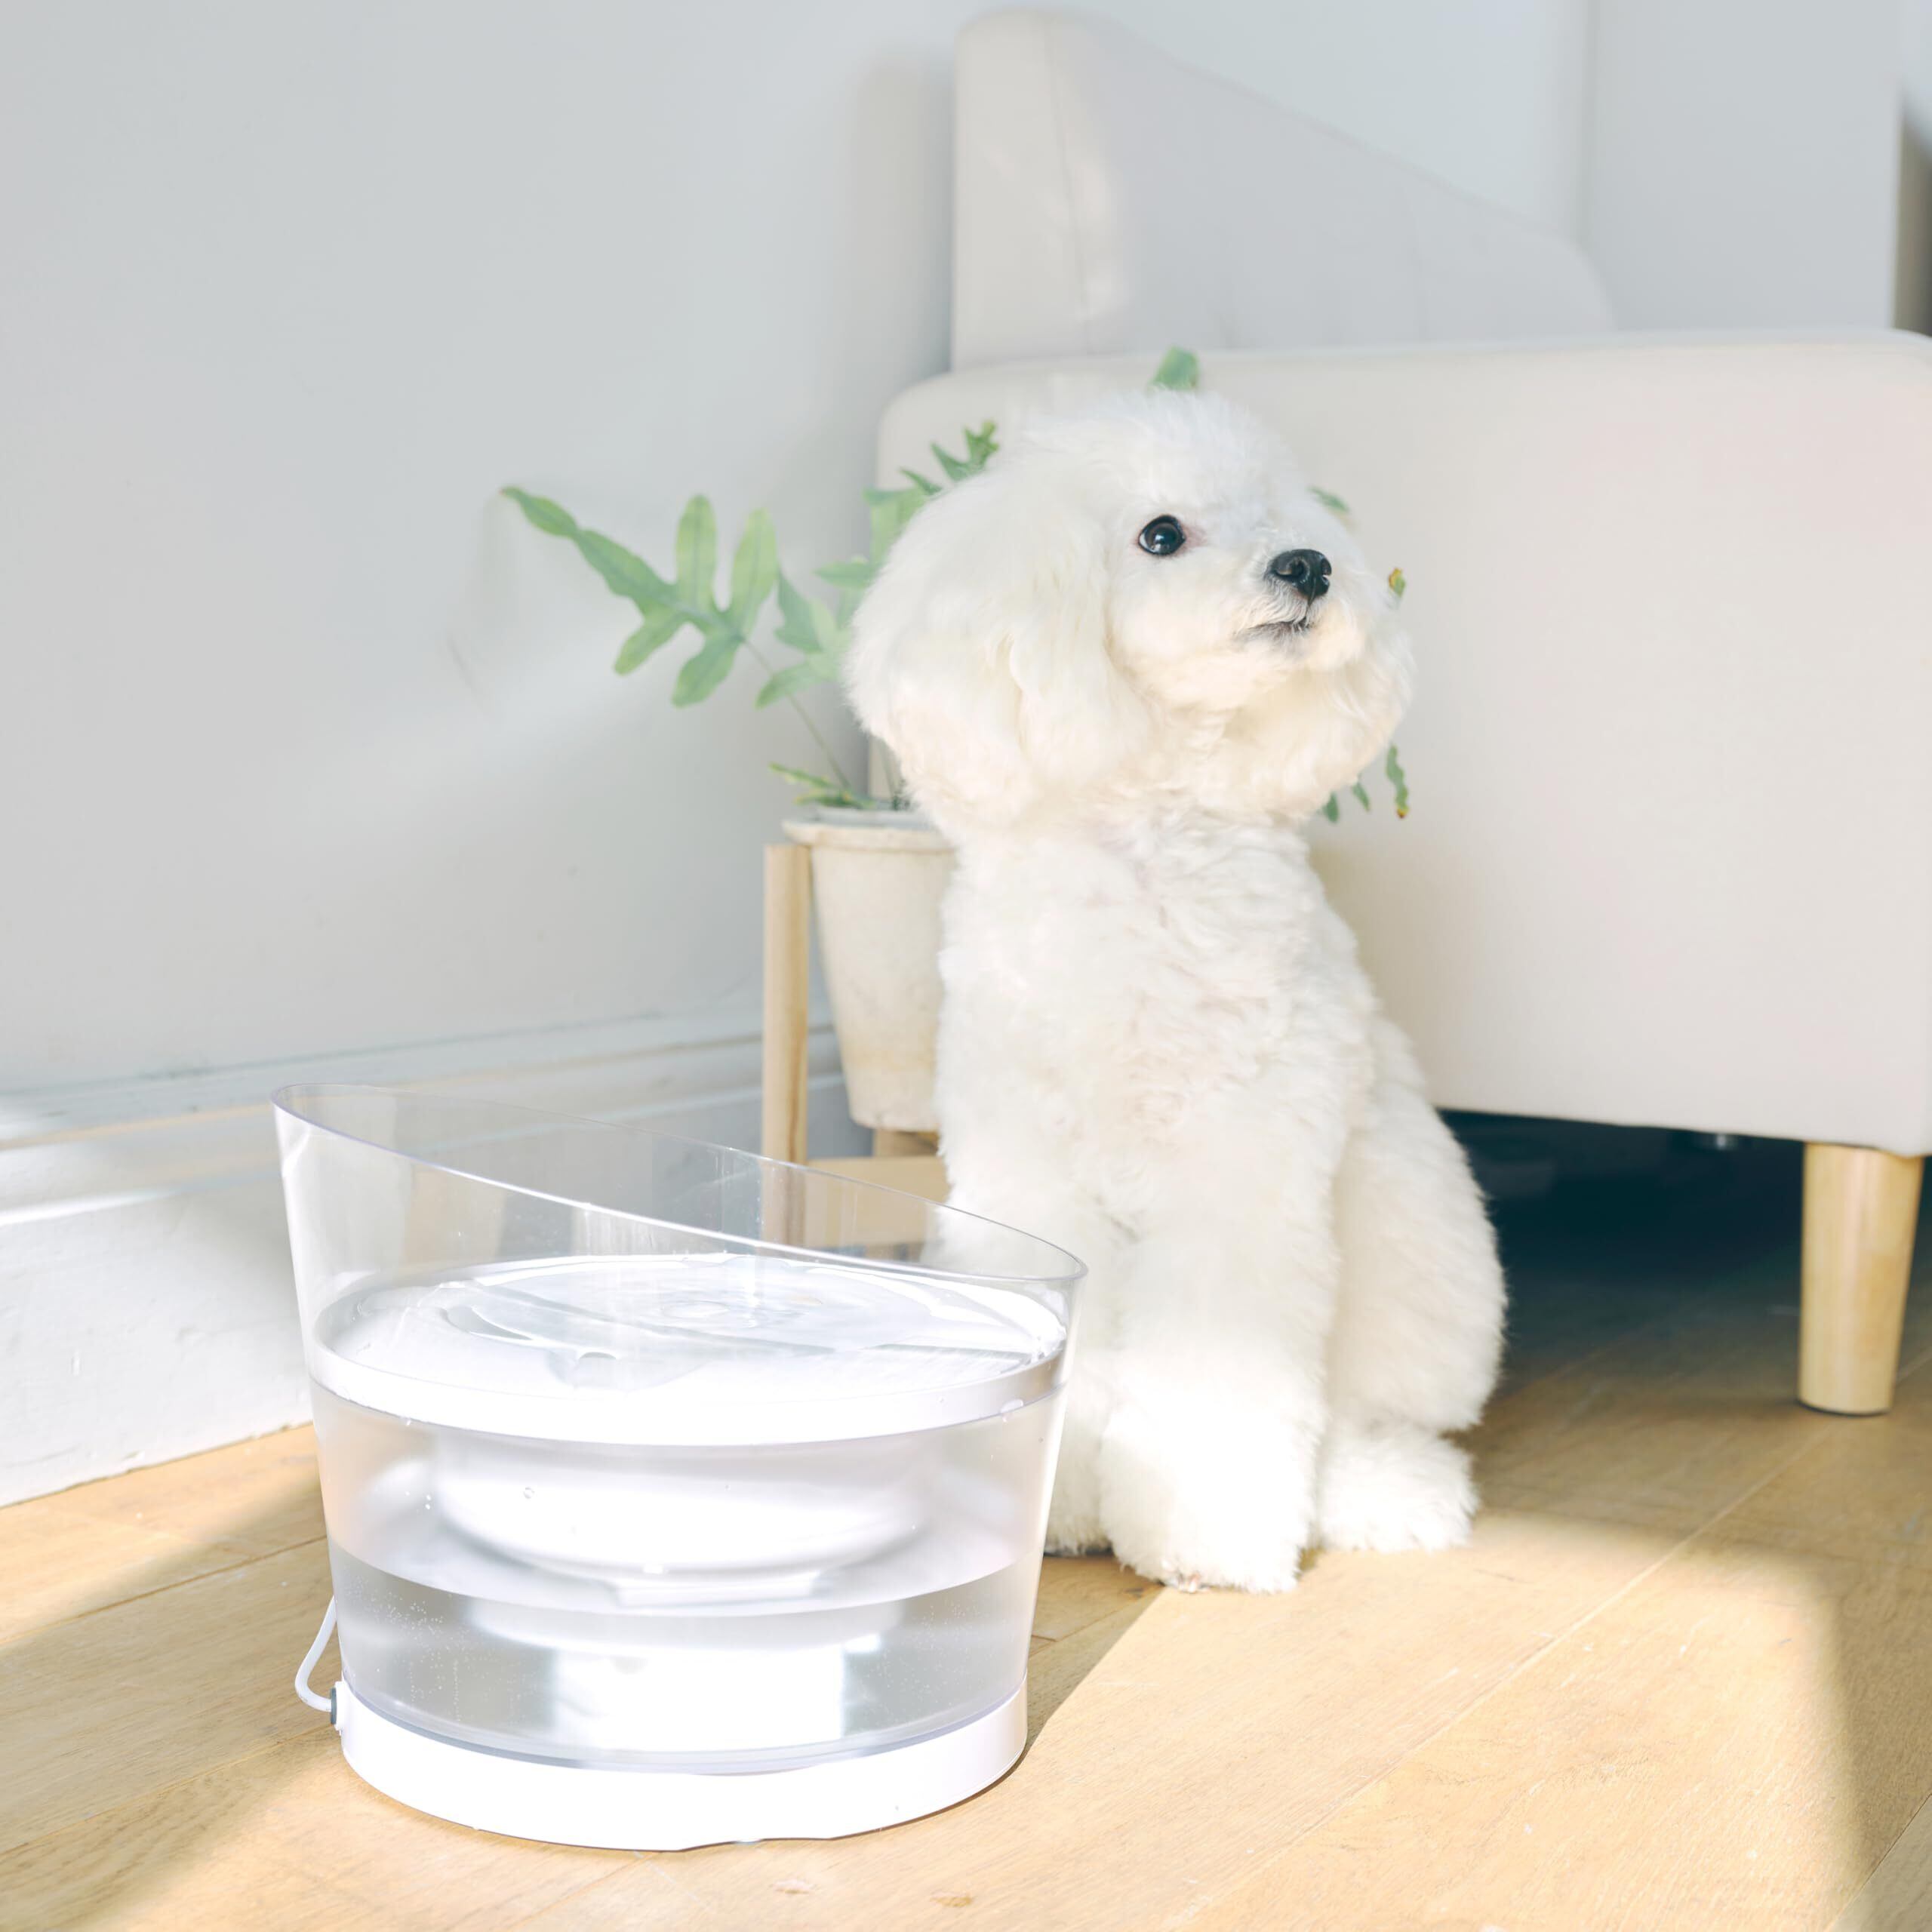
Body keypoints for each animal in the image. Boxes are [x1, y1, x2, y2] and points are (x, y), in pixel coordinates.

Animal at [846, 389, 1504, 1592]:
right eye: (1161, 534)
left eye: (1282, 515)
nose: (1308, 565)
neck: (1146, 846)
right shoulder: (1032, 1171)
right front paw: (1055, 1507)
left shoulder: (1241, 1168)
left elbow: (1221, 1373)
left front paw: (1203, 1535)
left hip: (1416, 1246)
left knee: (1367, 1417)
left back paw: (1381, 1495)